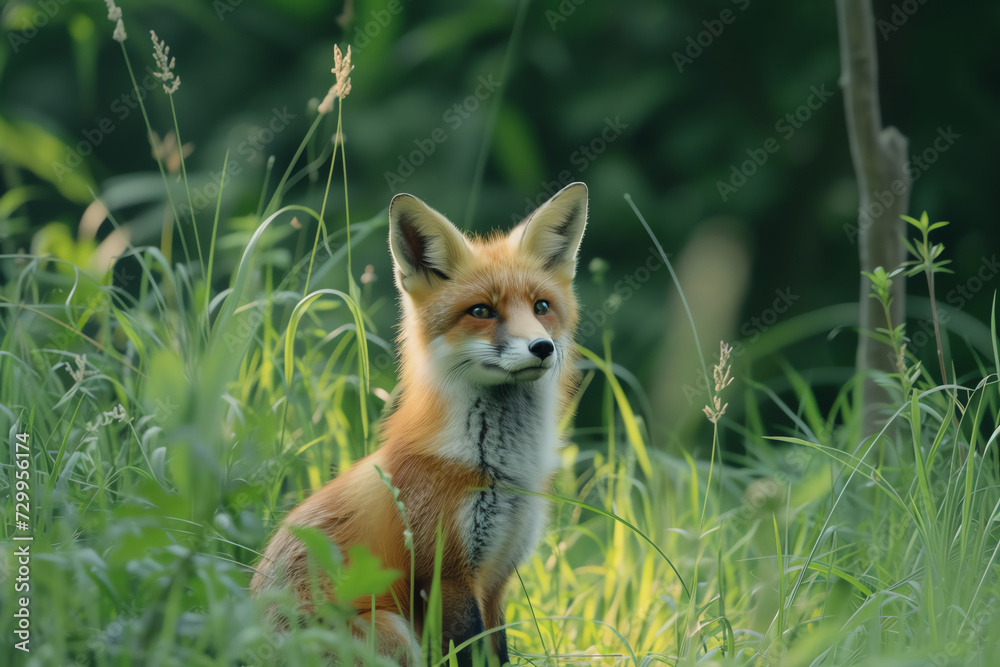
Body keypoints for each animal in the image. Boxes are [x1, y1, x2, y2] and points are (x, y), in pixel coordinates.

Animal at [250, 182, 588, 665]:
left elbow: (498, 651)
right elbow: (468, 651)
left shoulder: (498, 576)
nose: (542, 348)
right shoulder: (448, 575)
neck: (498, 470)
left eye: (541, 307)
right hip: (392, 630)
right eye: (482, 311)